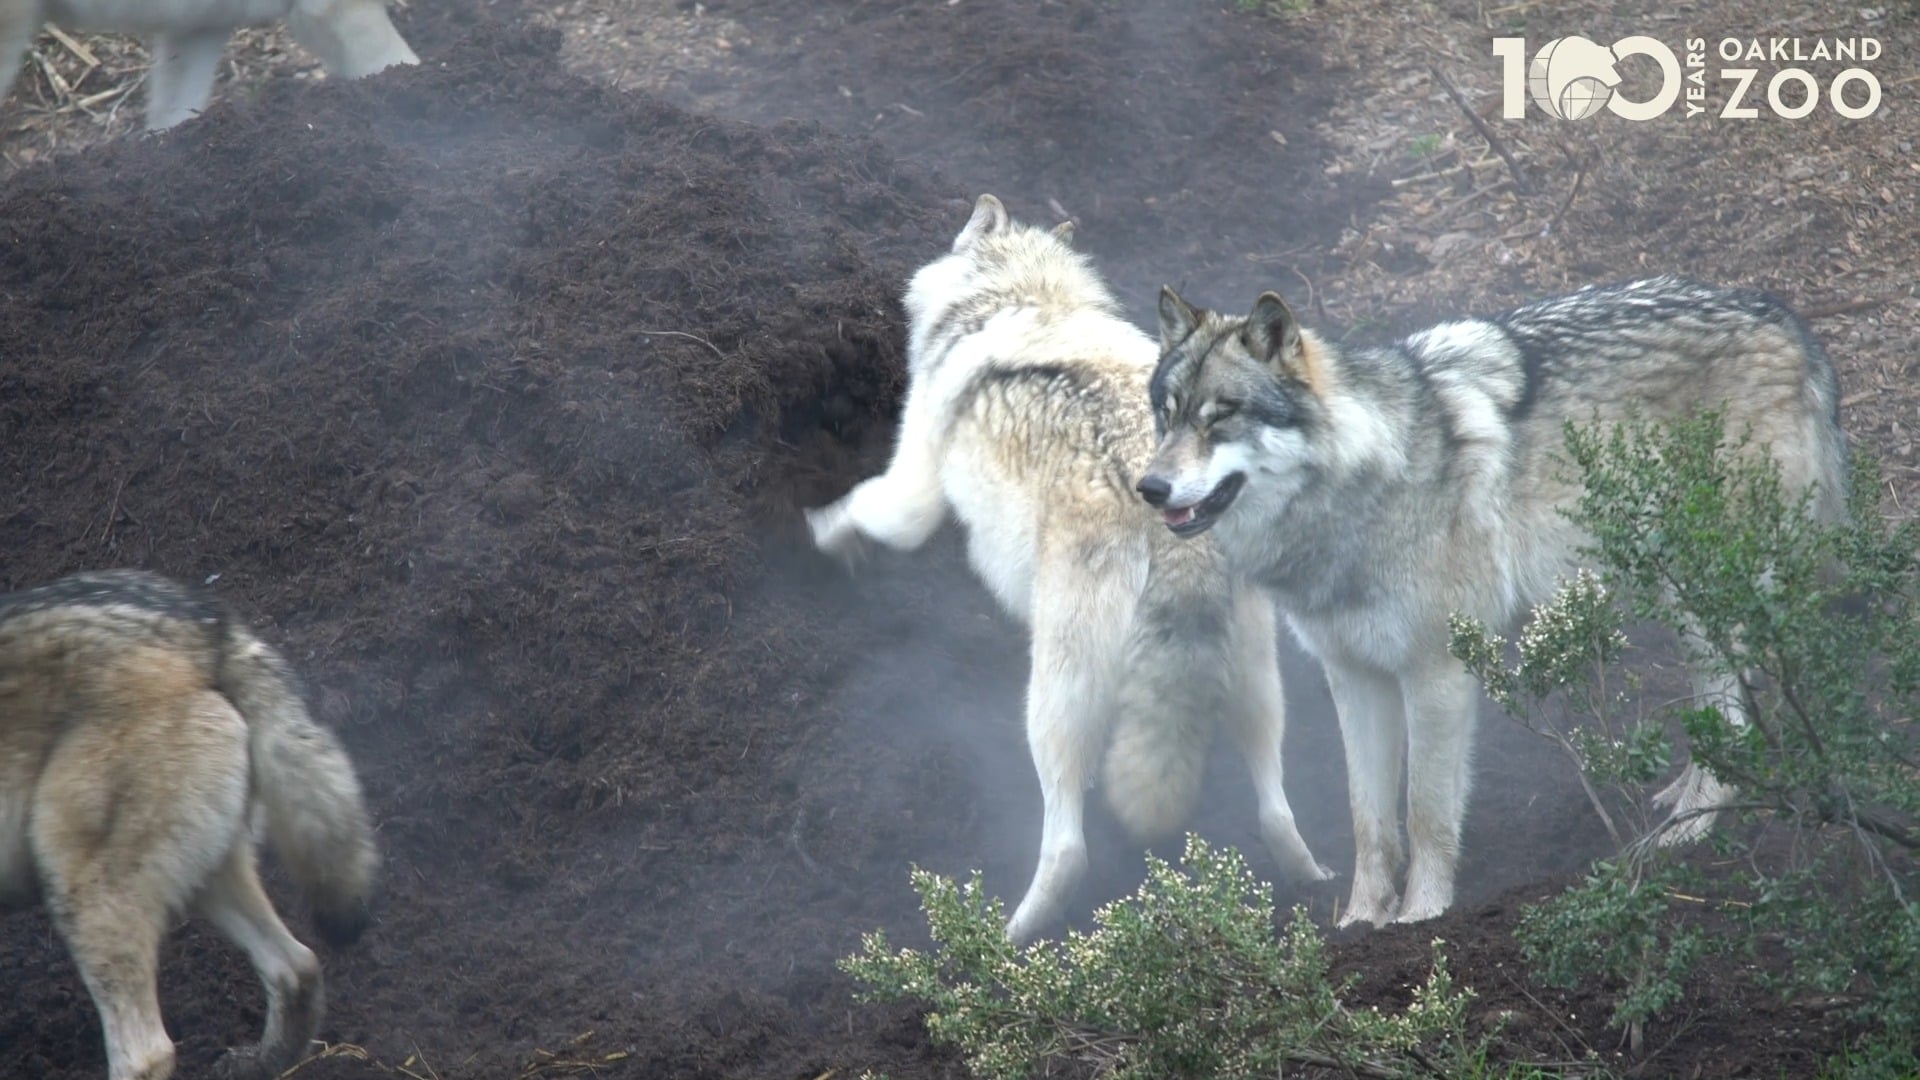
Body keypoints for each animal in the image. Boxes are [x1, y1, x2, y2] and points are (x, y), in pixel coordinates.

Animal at [0, 569, 380, 1080]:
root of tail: (206, 625)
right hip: (206, 877)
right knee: (297, 966)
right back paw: (256, 1065)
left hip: (82, 891)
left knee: (148, 1052)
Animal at [806, 194, 1333, 945]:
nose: (978, 205)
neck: (1021, 296)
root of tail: (1179, 538)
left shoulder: (915, 481)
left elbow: (868, 511)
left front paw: (823, 533)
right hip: (1259, 686)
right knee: (1276, 810)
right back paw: (1316, 883)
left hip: (1052, 704)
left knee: (1067, 849)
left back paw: (1005, 944)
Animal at [1138, 276, 1847, 927]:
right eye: (1166, 415)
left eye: (1219, 416)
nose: (1149, 486)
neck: (1361, 487)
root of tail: (1786, 319)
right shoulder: (1355, 678)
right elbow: (1370, 822)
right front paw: (1360, 924)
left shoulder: (1437, 675)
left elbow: (1425, 815)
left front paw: (1421, 919)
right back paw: (1681, 796)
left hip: (1698, 596)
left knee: (1733, 712)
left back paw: (1691, 829)